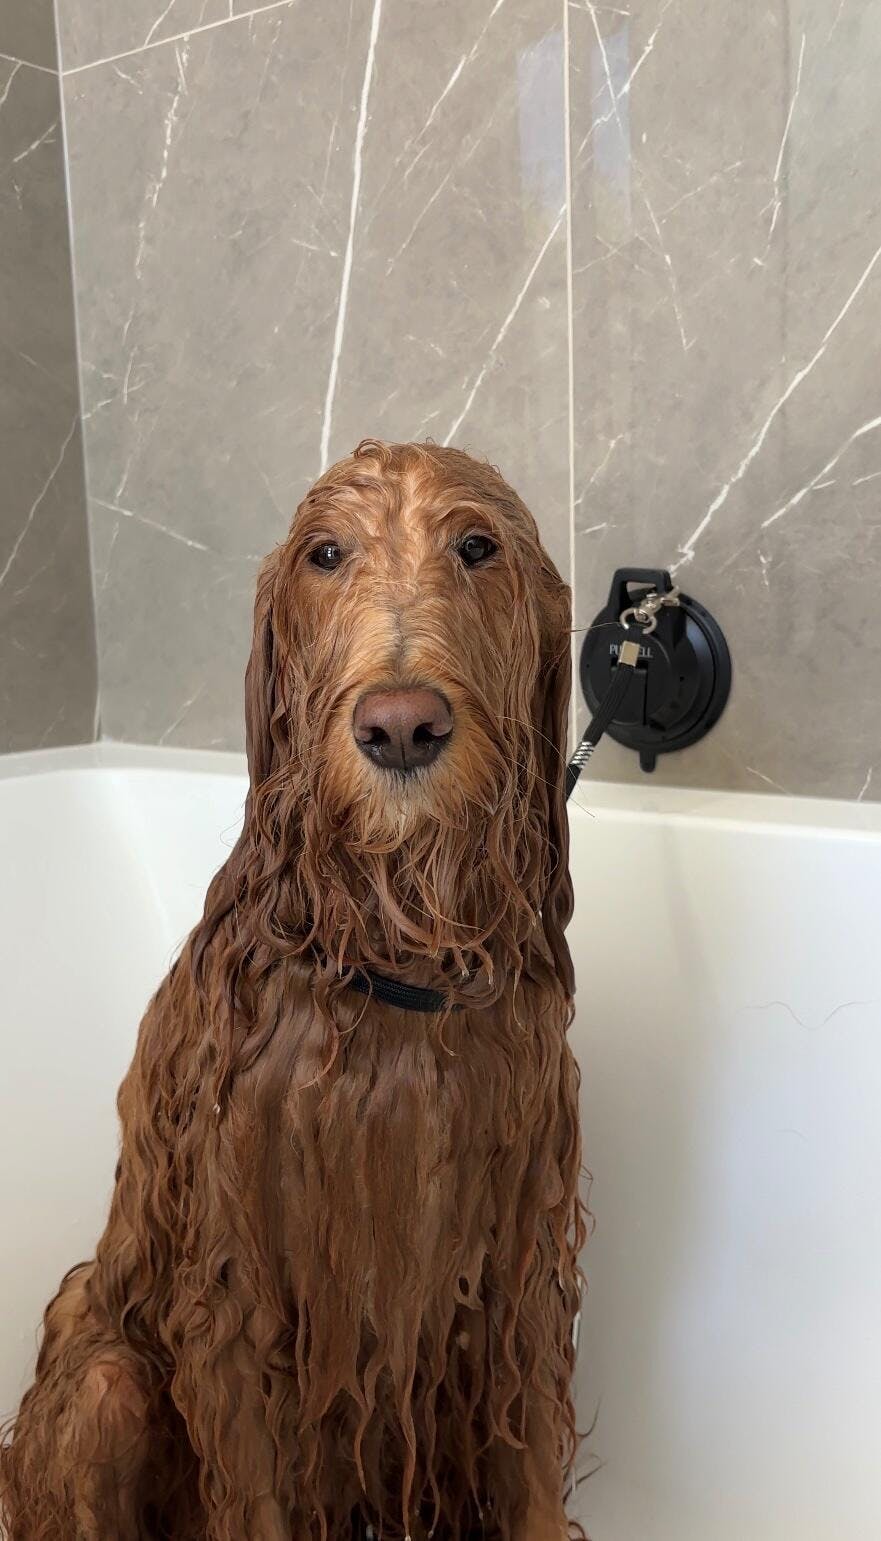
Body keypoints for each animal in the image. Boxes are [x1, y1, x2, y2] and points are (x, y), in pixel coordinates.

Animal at [1, 440, 586, 1540]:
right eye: (325, 553)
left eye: (476, 545)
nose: (400, 725)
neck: (395, 961)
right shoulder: (238, 1298)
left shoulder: (515, 1266)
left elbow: (530, 1472)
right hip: (103, 1379)